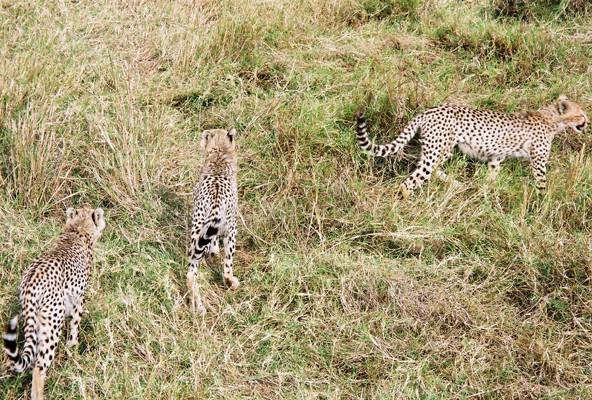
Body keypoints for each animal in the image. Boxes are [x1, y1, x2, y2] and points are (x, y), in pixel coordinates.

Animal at [2, 208, 105, 398]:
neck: (77, 228)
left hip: (34, 321)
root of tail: (30, 284)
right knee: (39, 366)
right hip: (52, 323)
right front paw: (73, 346)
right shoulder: (78, 298)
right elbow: (75, 323)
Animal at [187, 128, 238, 312]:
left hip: (197, 231)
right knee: (226, 265)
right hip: (229, 229)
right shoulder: (230, 226)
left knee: (191, 271)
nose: (202, 135)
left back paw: (197, 305)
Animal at [356, 95, 588, 198]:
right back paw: (408, 201)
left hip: (440, 149)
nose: (587, 123)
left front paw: (487, 192)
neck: (553, 119)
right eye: (581, 114)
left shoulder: (495, 157)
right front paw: (543, 201)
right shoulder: (538, 161)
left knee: (431, 168)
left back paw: (456, 184)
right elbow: (541, 181)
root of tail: (429, 110)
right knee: (412, 179)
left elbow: (492, 175)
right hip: (438, 149)